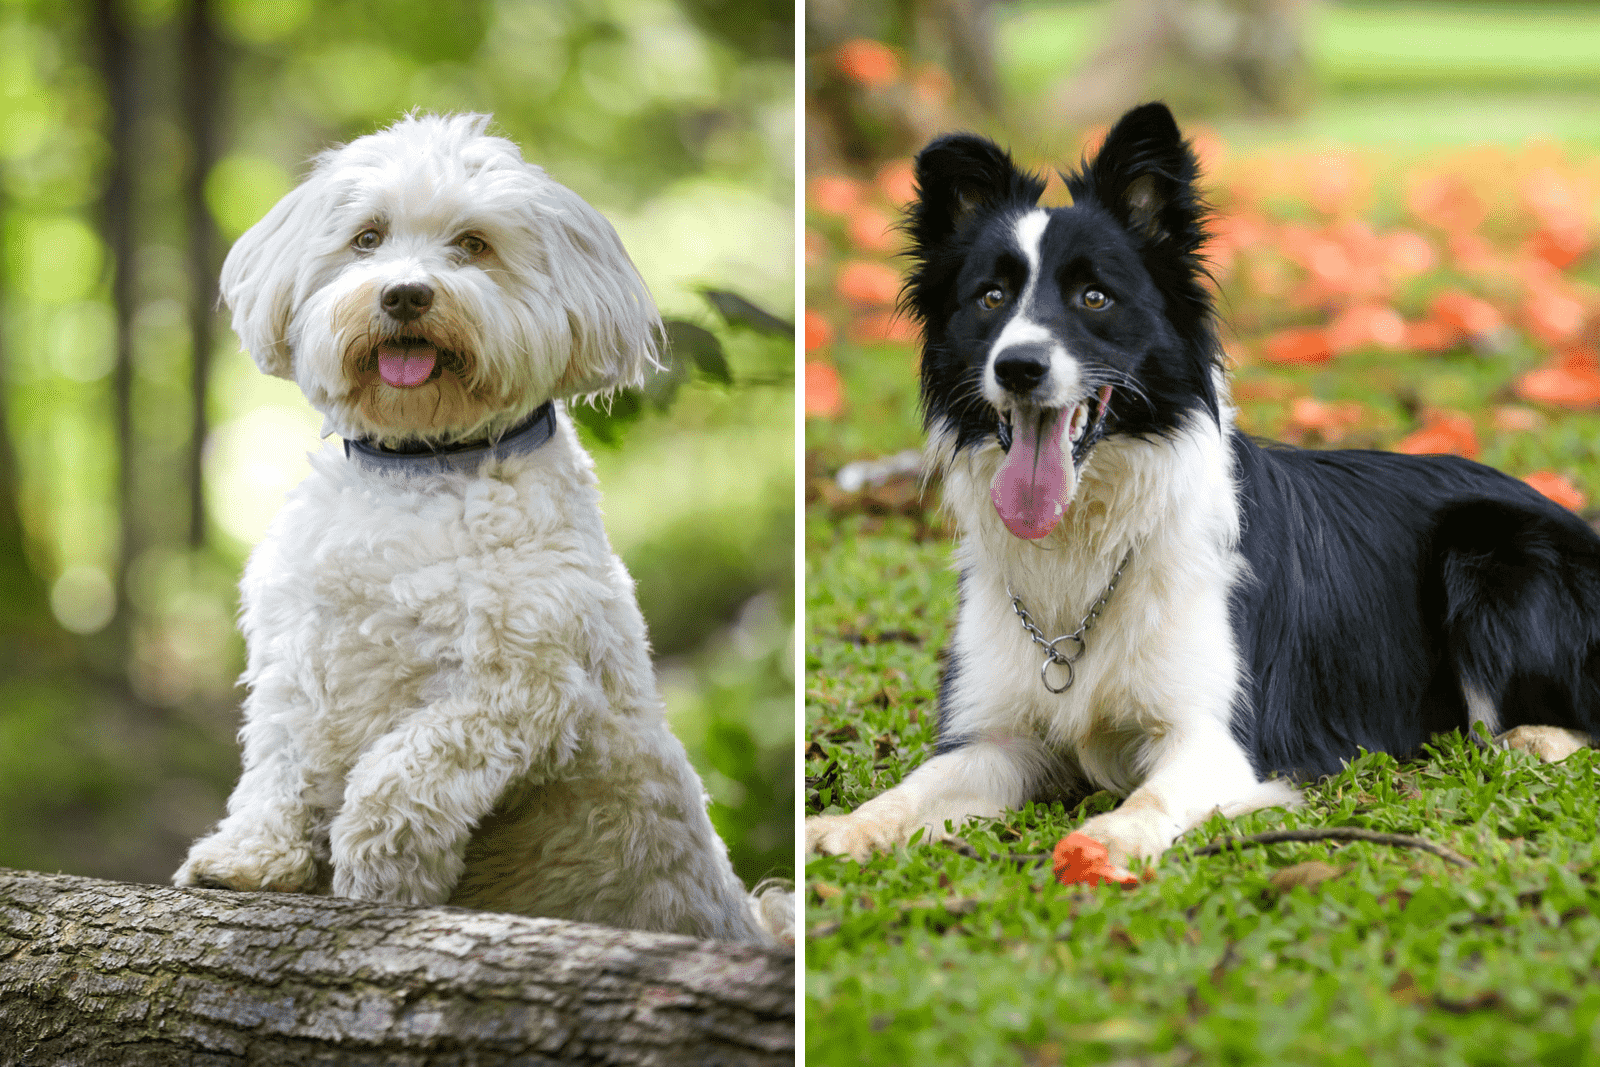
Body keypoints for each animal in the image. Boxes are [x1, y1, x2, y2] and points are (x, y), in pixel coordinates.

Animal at [176, 115, 793, 940]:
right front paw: (248, 857)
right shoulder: (300, 657)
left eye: (473, 244)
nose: (405, 293)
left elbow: (402, 769)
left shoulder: (520, 688)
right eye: (368, 237)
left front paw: (379, 872)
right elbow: (279, 765)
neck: (424, 465)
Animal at [812, 102, 1600, 870]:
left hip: (1492, 556)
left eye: (1094, 297)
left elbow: (1152, 796)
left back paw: (1533, 738)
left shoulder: (1217, 738)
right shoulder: (996, 736)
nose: (1019, 366)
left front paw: (1107, 840)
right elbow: (914, 788)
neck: (1089, 540)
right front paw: (844, 826)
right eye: (991, 297)